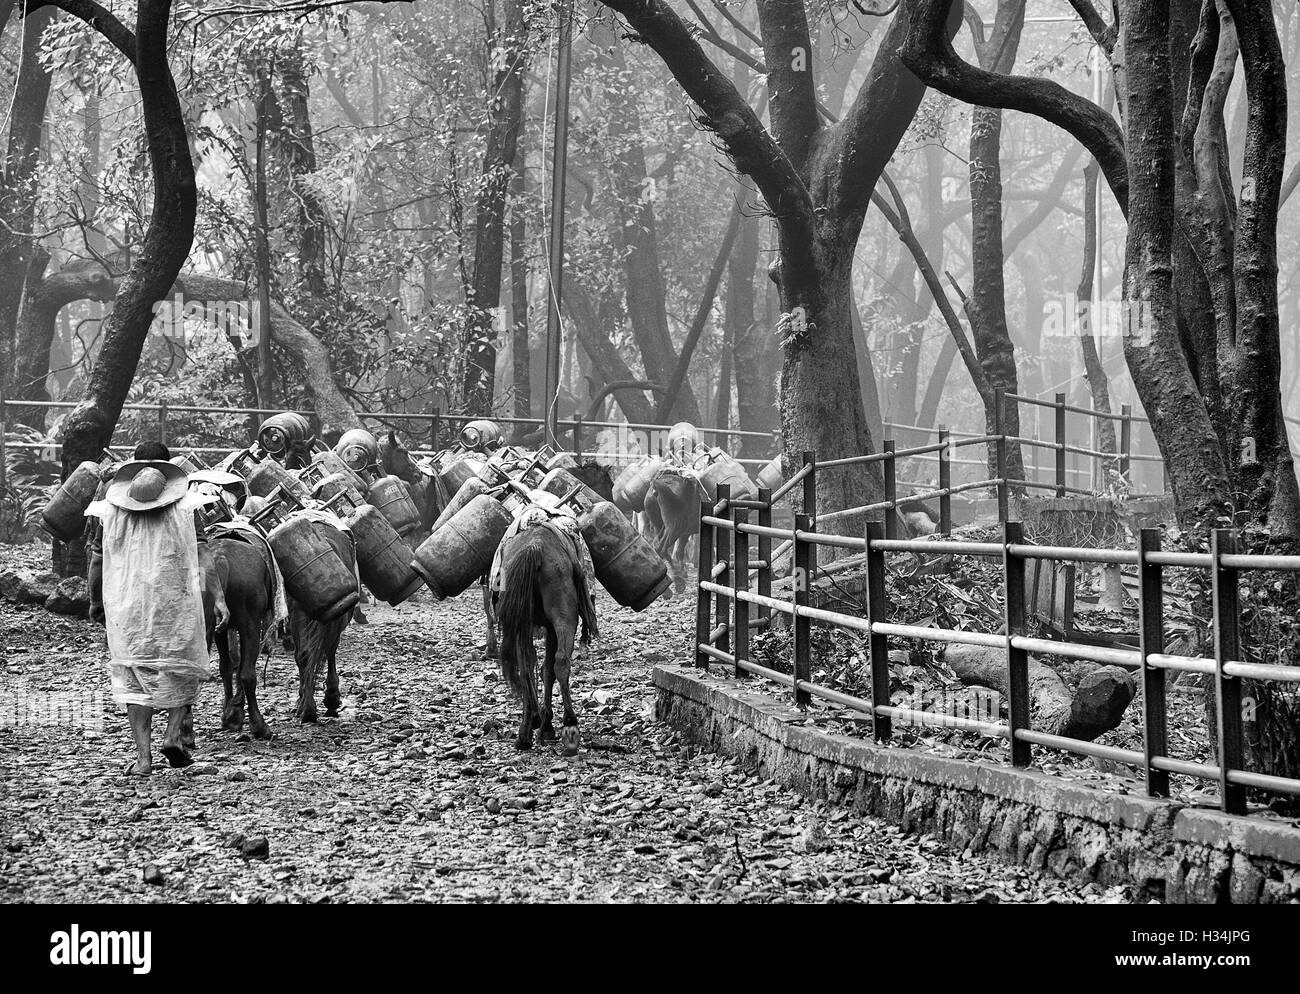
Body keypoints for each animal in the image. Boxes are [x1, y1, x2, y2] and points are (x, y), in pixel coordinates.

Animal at [198, 535, 273, 738]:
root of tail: (220, 557)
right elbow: (240, 669)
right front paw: (235, 713)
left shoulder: (221, 630)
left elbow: (227, 667)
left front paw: (230, 714)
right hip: (251, 626)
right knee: (248, 674)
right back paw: (259, 725)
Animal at [491, 522, 598, 748]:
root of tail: (535, 547)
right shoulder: (550, 628)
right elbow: (548, 669)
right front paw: (546, 724)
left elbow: (539, 667)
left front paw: (540, 722)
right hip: (563, 617)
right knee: (561, 661)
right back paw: (569, 721)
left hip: (523, 621)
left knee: (525, 668)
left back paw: (524, 733)